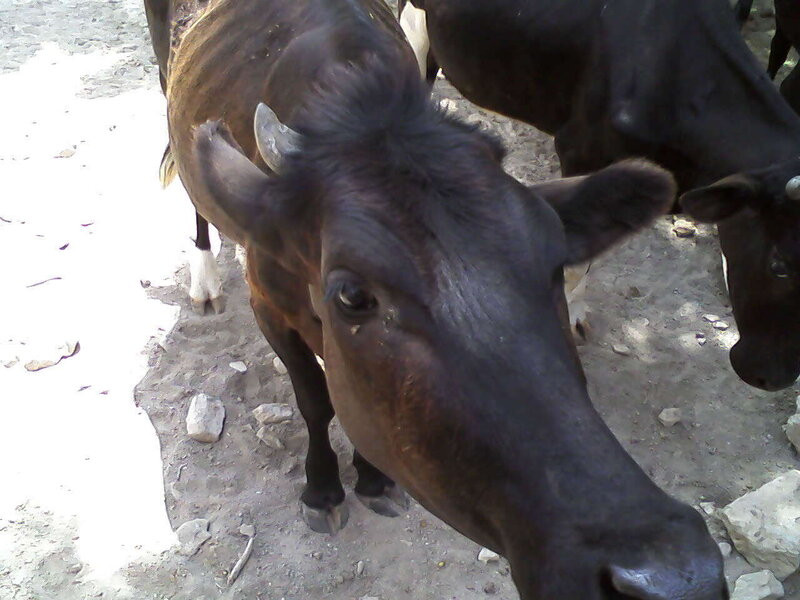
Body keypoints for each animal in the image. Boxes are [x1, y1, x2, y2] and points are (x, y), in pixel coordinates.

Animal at [144, 0, 729, 597]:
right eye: (352, 295)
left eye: (554, 263)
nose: (672, 573)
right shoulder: (268, 306)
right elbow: (316, 400)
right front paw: (323, 489)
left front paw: (374, 479)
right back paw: (204, 278)